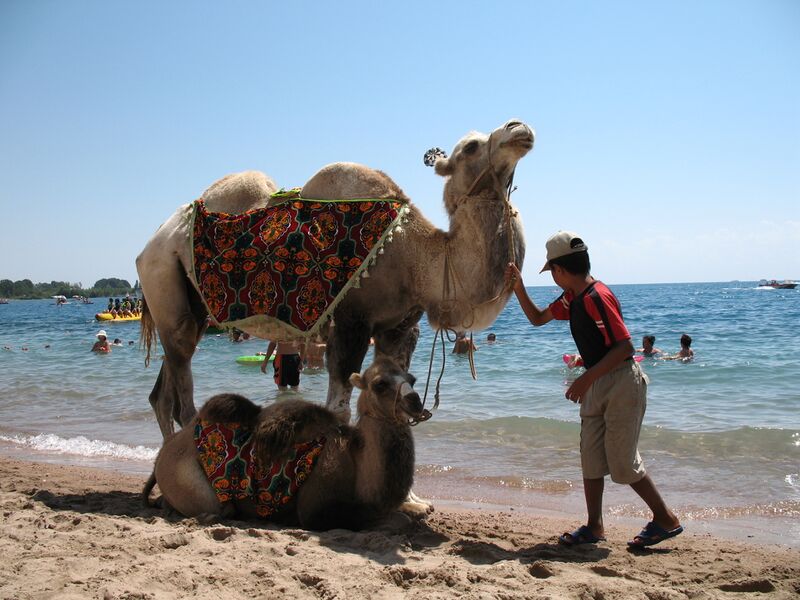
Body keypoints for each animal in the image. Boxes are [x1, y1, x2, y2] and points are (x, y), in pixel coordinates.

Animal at [136, 119, 533, 437]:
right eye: (470, 147)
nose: (520, 128)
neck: (416, 256)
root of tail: (151, 242)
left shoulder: (399, 327)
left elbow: (395, 400)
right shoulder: (351, 321)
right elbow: (339, 409)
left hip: (192, 306)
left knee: (161, 396)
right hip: (164, 280)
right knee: (183, 397)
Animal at [142, 357, 429, 529]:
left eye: (412, 380)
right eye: (380, 384)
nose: (415, 401)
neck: (356, 460)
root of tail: (161, 457)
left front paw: (420, 507)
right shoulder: (316, 510)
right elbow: (389, 519)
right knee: (217, 507)